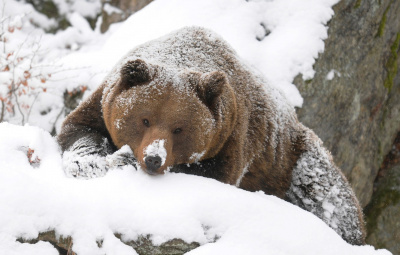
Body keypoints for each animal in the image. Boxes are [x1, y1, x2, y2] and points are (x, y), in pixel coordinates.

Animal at [58, 25, 366, 245]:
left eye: (179, 128)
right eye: (144, 119)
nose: (153, 158)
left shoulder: (232, 134)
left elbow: (213, 173)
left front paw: (124, 160)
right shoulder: (103, 102)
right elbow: (79, 129)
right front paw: (88, 163)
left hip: (292, 159)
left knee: (329, 197)